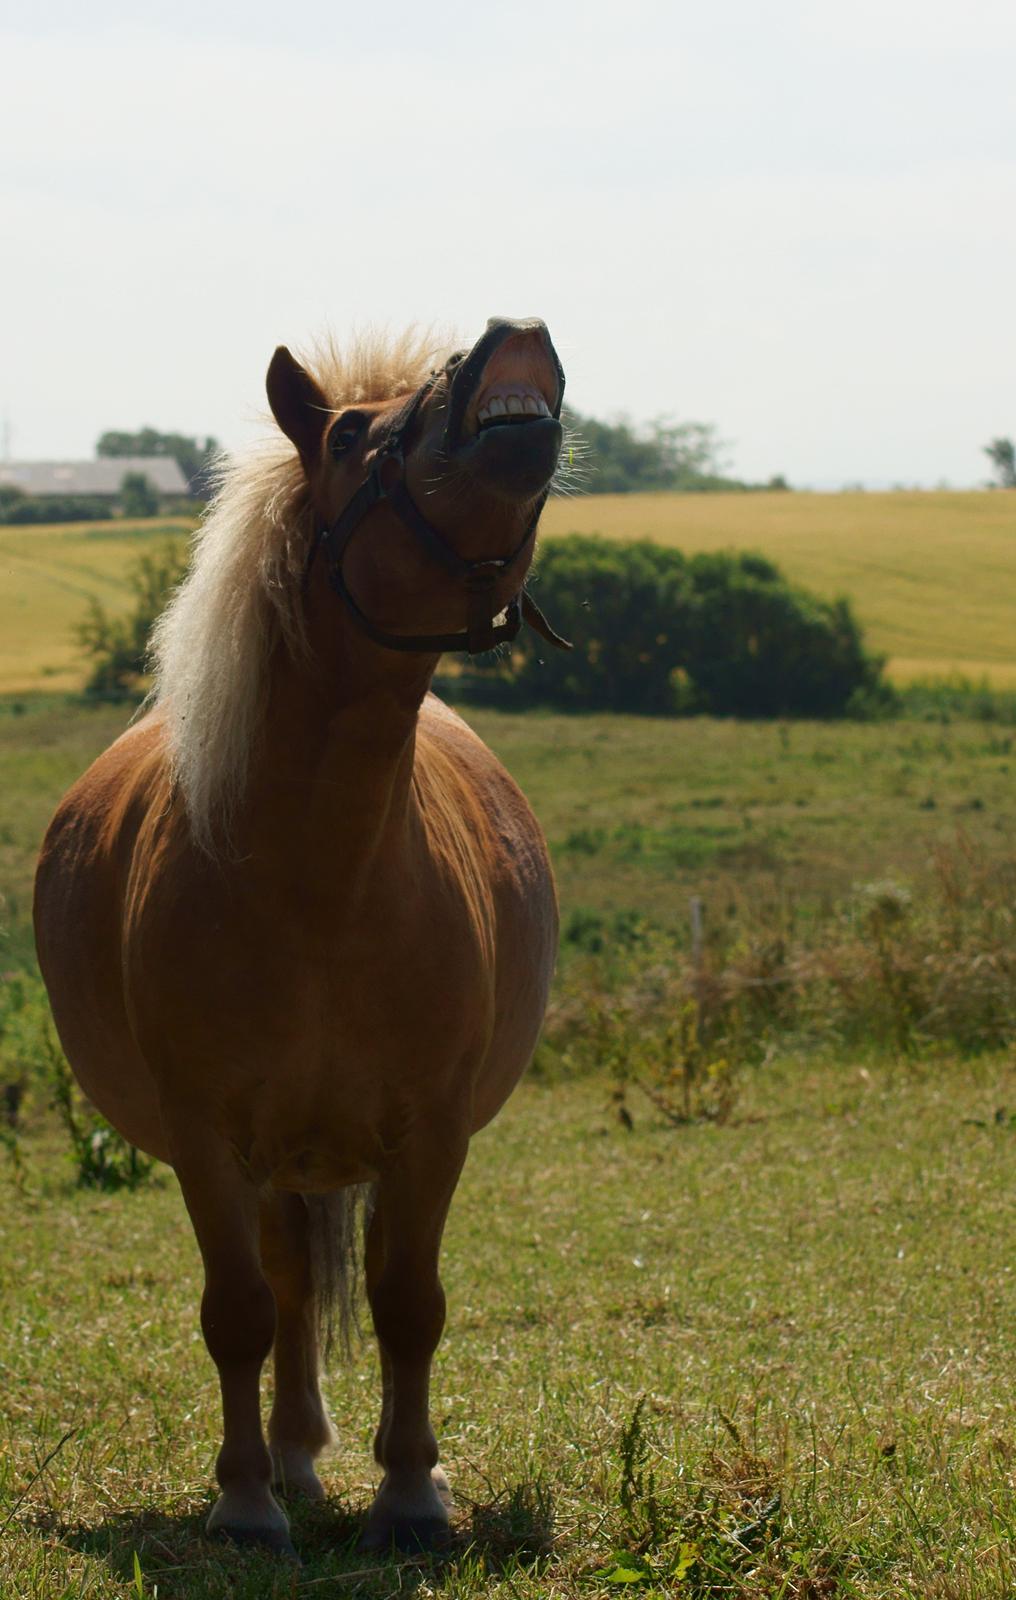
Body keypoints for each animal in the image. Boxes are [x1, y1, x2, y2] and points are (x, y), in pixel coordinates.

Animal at [34, 317, 570, 1557]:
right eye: (348, 434)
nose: (512, 334)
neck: (322, 883)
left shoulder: (430, 1137)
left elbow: (408, 1306)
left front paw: (411, 1492)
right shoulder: (204, 1139)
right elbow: (238, 1313)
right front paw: (244, 1501)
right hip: (271, 1163)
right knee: (280, 1291)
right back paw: (284, 1459)